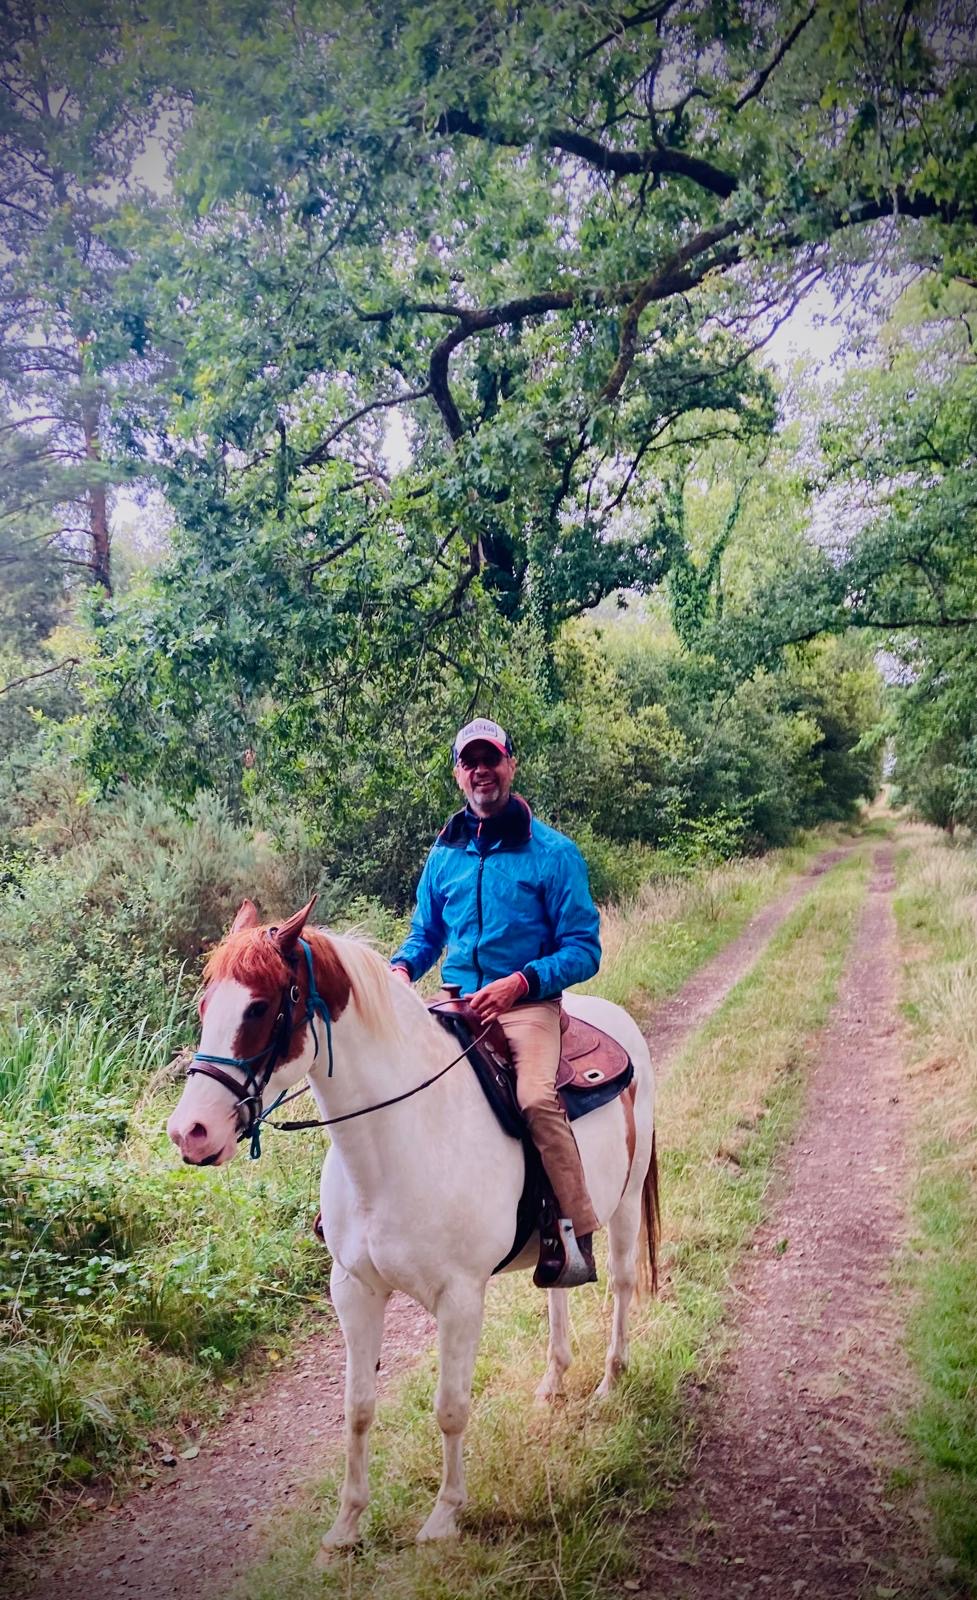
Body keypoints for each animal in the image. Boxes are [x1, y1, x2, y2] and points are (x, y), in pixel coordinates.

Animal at [167, 895, 658, 1554]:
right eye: (204, 1006)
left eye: (260, 1007)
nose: (189, 1133)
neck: (400, 1139)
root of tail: (613, 1019)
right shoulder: (354, 1290)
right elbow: (357, 1408)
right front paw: (346, 1526)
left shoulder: (460, 1298)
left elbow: (450, 1407)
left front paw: (444, 1515)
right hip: (560, 1242)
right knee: (559, 1288)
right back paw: (553, 1384)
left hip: (626, 1203)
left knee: (623, 1284)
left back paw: (609, 1382)